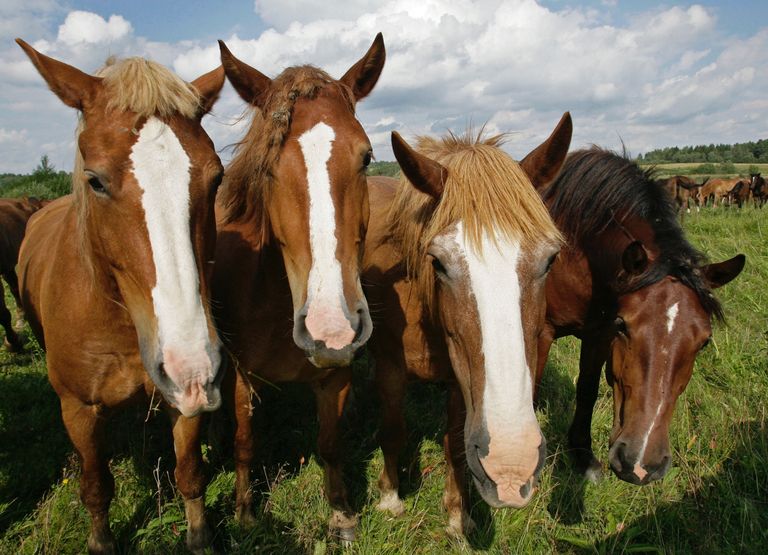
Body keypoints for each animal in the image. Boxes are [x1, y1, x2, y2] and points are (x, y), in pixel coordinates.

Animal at [15, 40, 225, 554]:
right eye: (95, 180)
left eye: (216, 179)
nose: (191, 363)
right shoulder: (78, 410)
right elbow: (96, 485)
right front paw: (101, 541)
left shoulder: (186, 398)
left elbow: (189, 474)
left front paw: (198, 535)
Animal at [212, 35, 385, 541]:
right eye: (267, 167)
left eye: (367, 157)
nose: (331, 328)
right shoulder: (241, 377)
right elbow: (245, 442)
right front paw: (246, 513)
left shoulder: (335, 375)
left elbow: (329, 443)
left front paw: (342, 514)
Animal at [365, 114, 571, 535]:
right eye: (438, 262)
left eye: (549, 259)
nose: (511, 467)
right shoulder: (391, 368)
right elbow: (393, 429)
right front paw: (390, 497)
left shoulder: (462, 381)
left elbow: (455, 446)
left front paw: (458, 514)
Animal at [534, 148, 745, 485]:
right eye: (625, 326)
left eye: (704, 342)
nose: (640, 465)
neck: (575, 248)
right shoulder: (543, 331)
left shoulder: (598, 333)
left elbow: (587, 390)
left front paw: (582, 456)